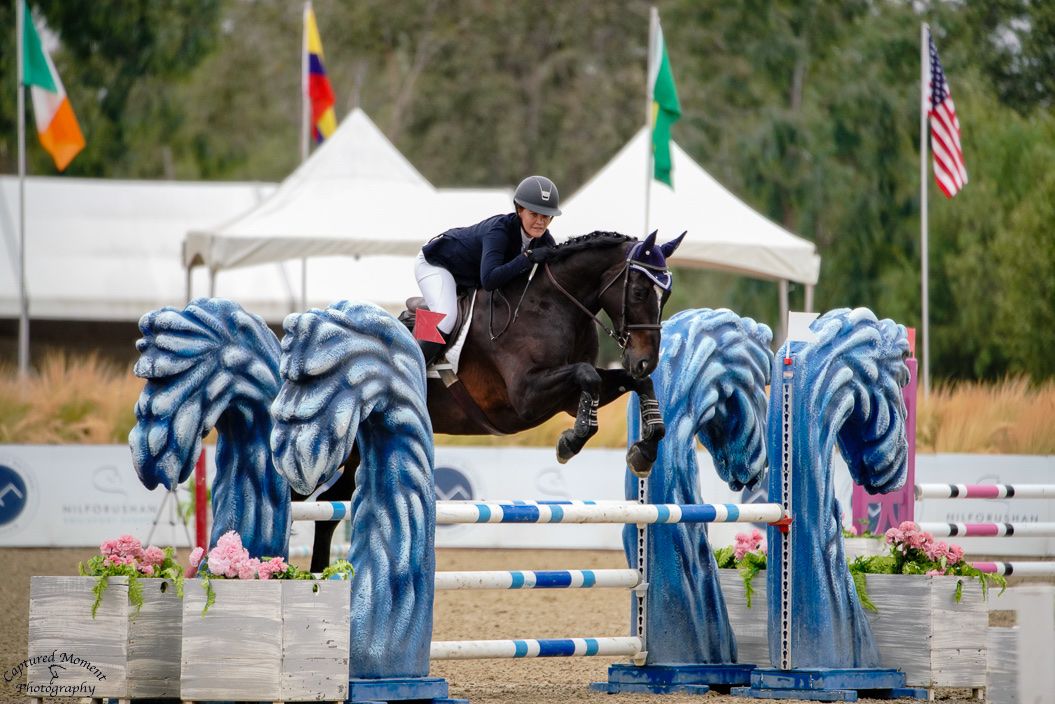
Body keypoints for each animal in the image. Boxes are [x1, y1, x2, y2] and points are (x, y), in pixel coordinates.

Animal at [290, 229, 685, 571]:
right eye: (638, 292)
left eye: (665, 296)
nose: (645, 359)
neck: (552, 305)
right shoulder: (525, 398)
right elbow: (587, 374)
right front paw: (570, 442)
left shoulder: (567, 401)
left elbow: (634, 384)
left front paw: (644, 451)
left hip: (358, 451)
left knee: (325, 507)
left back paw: (319, 576)